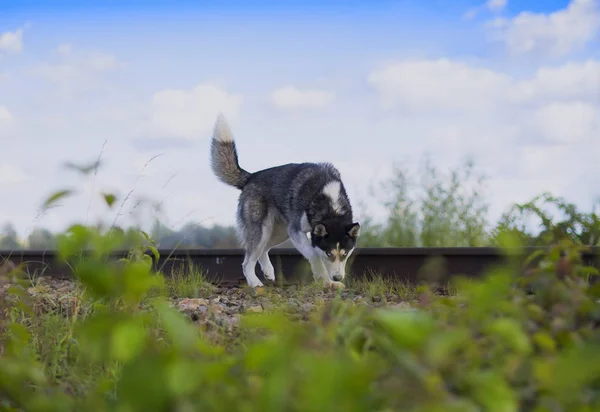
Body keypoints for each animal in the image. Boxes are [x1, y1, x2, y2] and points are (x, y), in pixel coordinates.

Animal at [211, 112, 360, 286]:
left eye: (345, 254)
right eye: (329, 253)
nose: (337, 277)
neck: (330, 204)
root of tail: (251, 177)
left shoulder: (297, 232)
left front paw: (330, 283)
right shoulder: (296, 230)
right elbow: (314, 254)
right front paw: (323, 278)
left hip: (280, 232)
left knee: (263, 249)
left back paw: (268, 271)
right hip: (263, 230)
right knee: (247, 261)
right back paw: (254, 283)